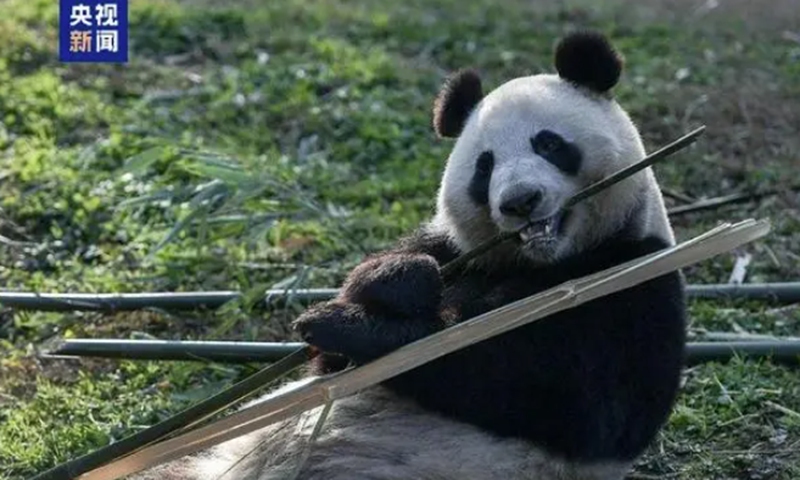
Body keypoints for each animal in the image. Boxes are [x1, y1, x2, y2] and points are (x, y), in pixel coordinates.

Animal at [136, 31, 686, 480]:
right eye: (485, 166)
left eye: (549, 144)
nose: (519, 202)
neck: (541, 263)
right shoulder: (456, 249)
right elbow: (333, 361)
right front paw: (391, 281)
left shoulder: (631, 276)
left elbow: (562, 395)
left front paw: (357, 325)